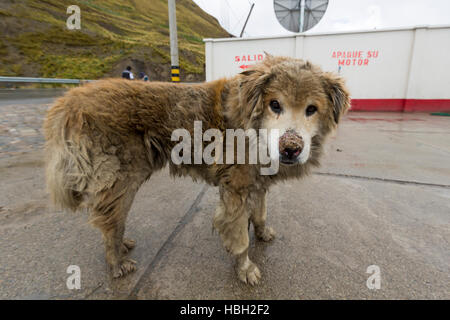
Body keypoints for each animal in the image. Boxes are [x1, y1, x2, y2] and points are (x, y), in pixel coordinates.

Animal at [44, 55, 350, 284]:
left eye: (312, 109)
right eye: (275, 104)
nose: (290, 148)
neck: (251, 126)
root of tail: (71, 98)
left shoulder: (257, 182)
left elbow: (261, 212)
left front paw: (262, 232)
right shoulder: (235, 191)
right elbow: (240, 239)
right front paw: (246, 269)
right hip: (120, 182)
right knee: (110, 225)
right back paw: (117, 261)